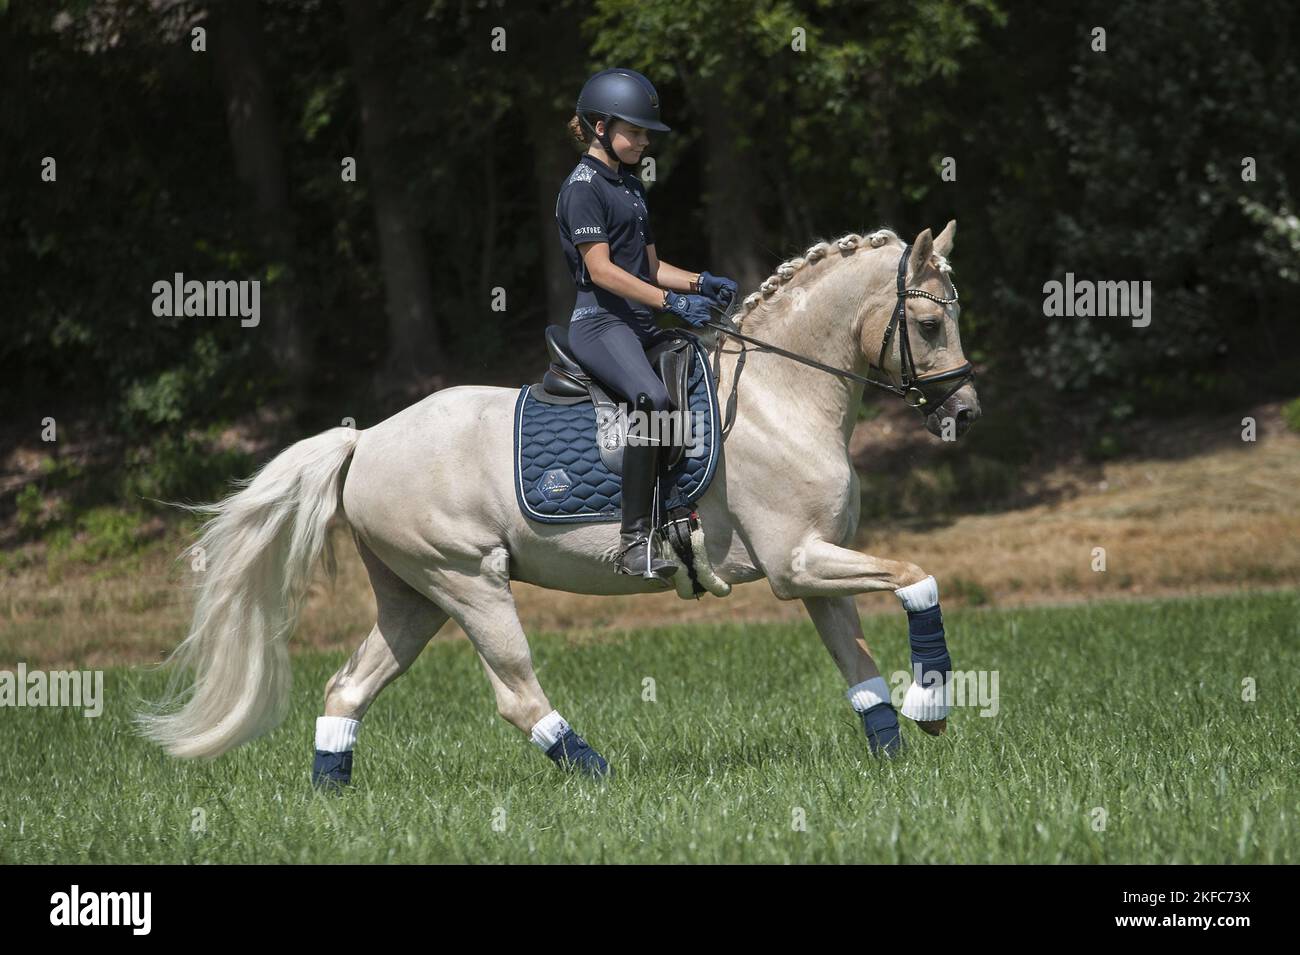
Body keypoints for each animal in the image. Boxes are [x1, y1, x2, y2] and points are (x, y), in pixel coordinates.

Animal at [137, 221, 981, 781]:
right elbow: (919, 576)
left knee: (349, 685)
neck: (781, 395)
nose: (964, 413)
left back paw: (331, 797)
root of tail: (365, 439)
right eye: (927, 322)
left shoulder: (814, 570)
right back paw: (598, 774)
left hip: (414, 595)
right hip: (467, 579)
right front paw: (932, 700)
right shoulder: (796, 564)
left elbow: (859, 666)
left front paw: (897, 751)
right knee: (514, 692)